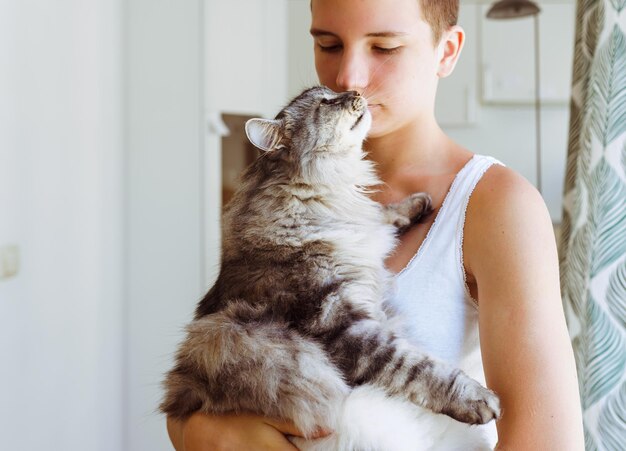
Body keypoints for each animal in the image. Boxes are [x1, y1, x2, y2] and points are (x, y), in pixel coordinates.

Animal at [160, 86, 498, 450]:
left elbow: (381, 214)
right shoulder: (340, 325)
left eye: (332, 93)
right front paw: (477, 399)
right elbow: (417, 368)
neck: (328, 197)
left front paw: (415, 205)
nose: (355, 91)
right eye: (326, 103)